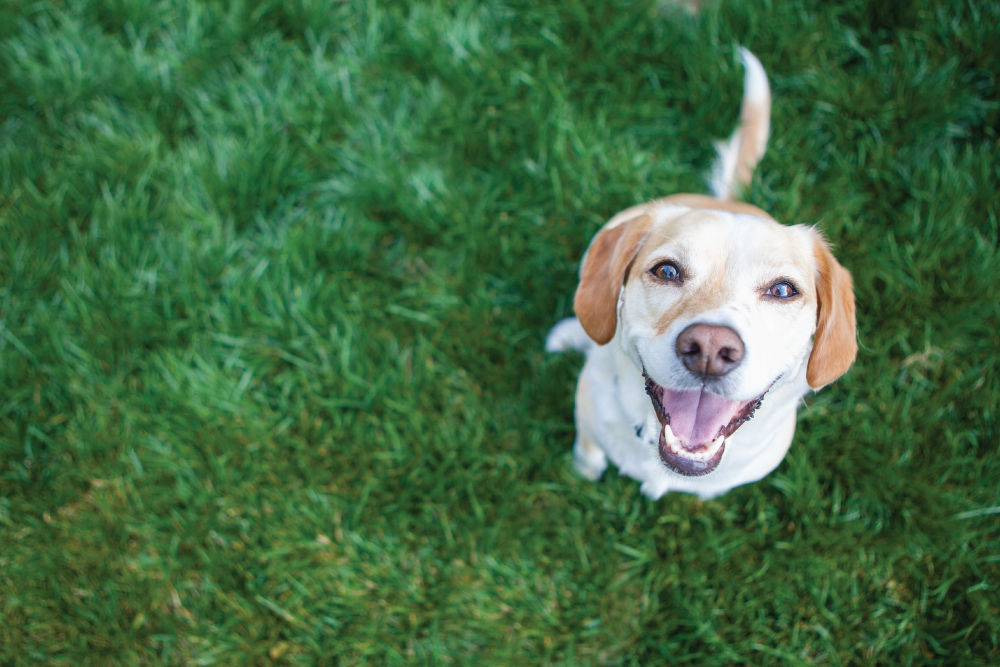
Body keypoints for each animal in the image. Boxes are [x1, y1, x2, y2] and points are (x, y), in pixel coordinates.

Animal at [548, 51, 860, 500]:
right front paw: (582, 473)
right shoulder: (589, 419)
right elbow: (588, 454)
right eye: (666, 270)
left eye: (783, 290)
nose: (710, 349)